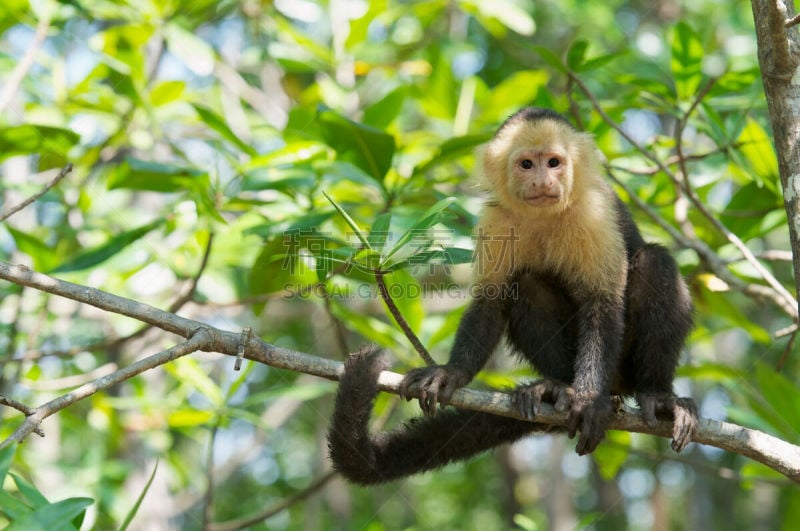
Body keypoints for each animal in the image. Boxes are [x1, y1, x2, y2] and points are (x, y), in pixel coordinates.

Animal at [328, 107, 696, 486]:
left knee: (655, 263)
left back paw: (656, 396)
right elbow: (492, 298)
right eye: (526, 164)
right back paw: (555, 388)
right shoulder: (496, 219)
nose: (543, 181)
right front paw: (451, 372)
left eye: (553, 162)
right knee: (526, 284)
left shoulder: (593, 212)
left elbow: (602, 302)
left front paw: (588, 401)